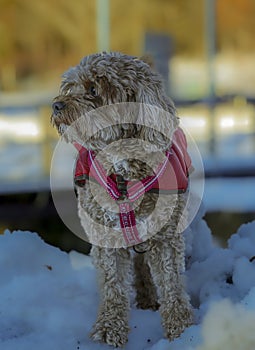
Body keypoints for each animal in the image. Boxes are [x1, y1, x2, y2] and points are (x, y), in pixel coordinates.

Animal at [50, 52, 192, 348]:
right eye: (71, 86)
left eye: (94, 89)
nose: (56, 105)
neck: (123, 173)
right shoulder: (106, 238)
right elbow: (112, 285)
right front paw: (108, 329)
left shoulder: (166, 236)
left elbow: (171, 282)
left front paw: (181, 329)